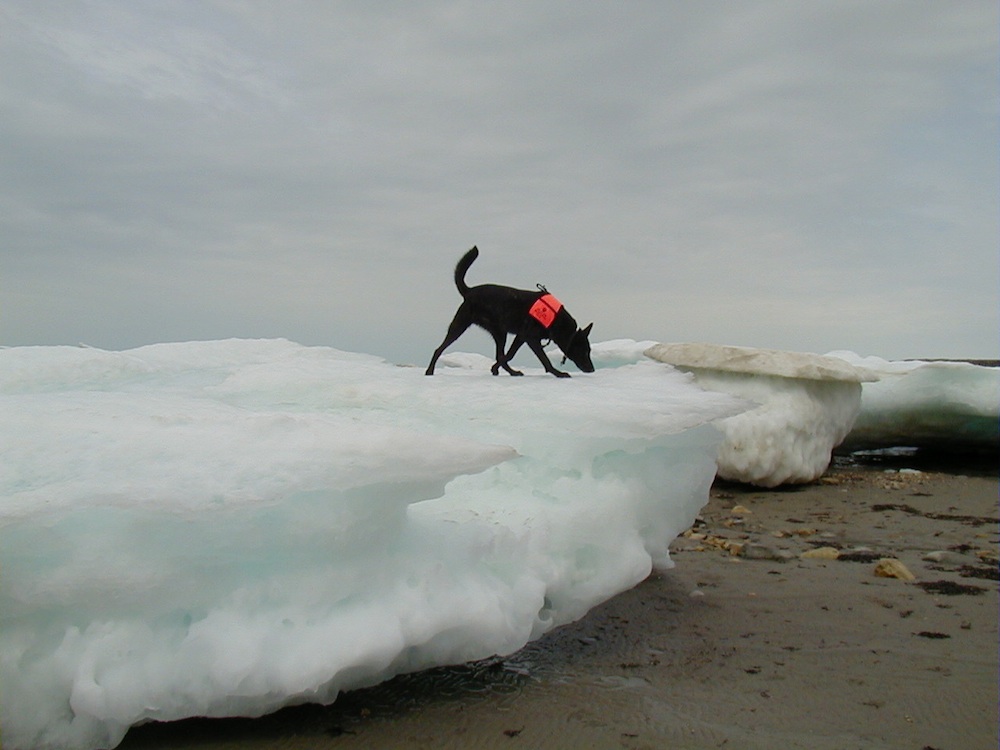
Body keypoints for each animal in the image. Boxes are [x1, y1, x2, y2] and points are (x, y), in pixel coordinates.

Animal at [425, 246, 594, 378]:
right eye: (585, 350)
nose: (592, 369)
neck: (558, 322)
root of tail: (469, 291)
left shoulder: (521, 337)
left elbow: (508, 355)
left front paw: (495, 368)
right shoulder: (529, 338)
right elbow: (542, 359)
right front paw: (558, 373)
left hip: (500, 333)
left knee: (499, 353)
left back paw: (511, 372)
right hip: (460, 326)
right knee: (439, 348)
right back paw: (429, 370)